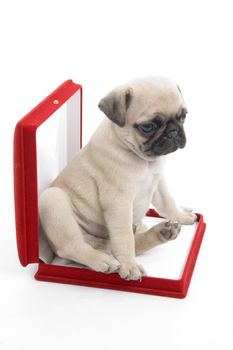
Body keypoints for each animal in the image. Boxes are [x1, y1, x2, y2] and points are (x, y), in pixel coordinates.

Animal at [38, 77, 197, 282]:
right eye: (148, 127)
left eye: (183, 117)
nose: (173, 132)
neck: (144, 161)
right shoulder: (119, 202)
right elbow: (124, 238)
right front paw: (129, 266)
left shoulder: (158, 181)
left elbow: (167, 202)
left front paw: (181, 216)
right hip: (52, 200)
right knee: (73, 246)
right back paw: (102, 260)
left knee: (127, 242)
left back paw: (161, 233)